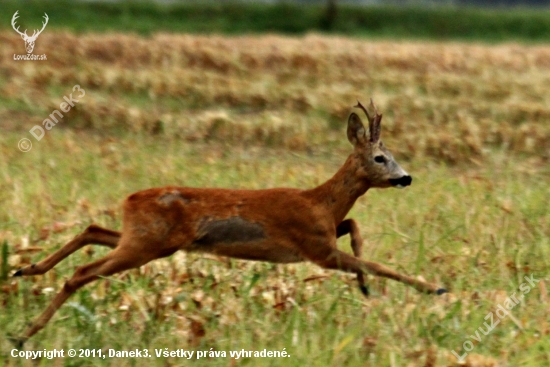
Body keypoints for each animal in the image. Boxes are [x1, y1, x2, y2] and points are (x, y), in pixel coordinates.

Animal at [9, 99, 448, 346]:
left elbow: (355, 228)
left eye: (393, 155)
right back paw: (24, 334)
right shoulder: (316, 248)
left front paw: (364, 287)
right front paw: (434, 288)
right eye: (380, 158)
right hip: (147, 244)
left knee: (93, 230)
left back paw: (27, 269)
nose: (406, 178)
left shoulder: (322, 237)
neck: (320, 201)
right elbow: (377, 263)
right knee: (82, 272)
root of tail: (130, 199)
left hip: (145, 238)